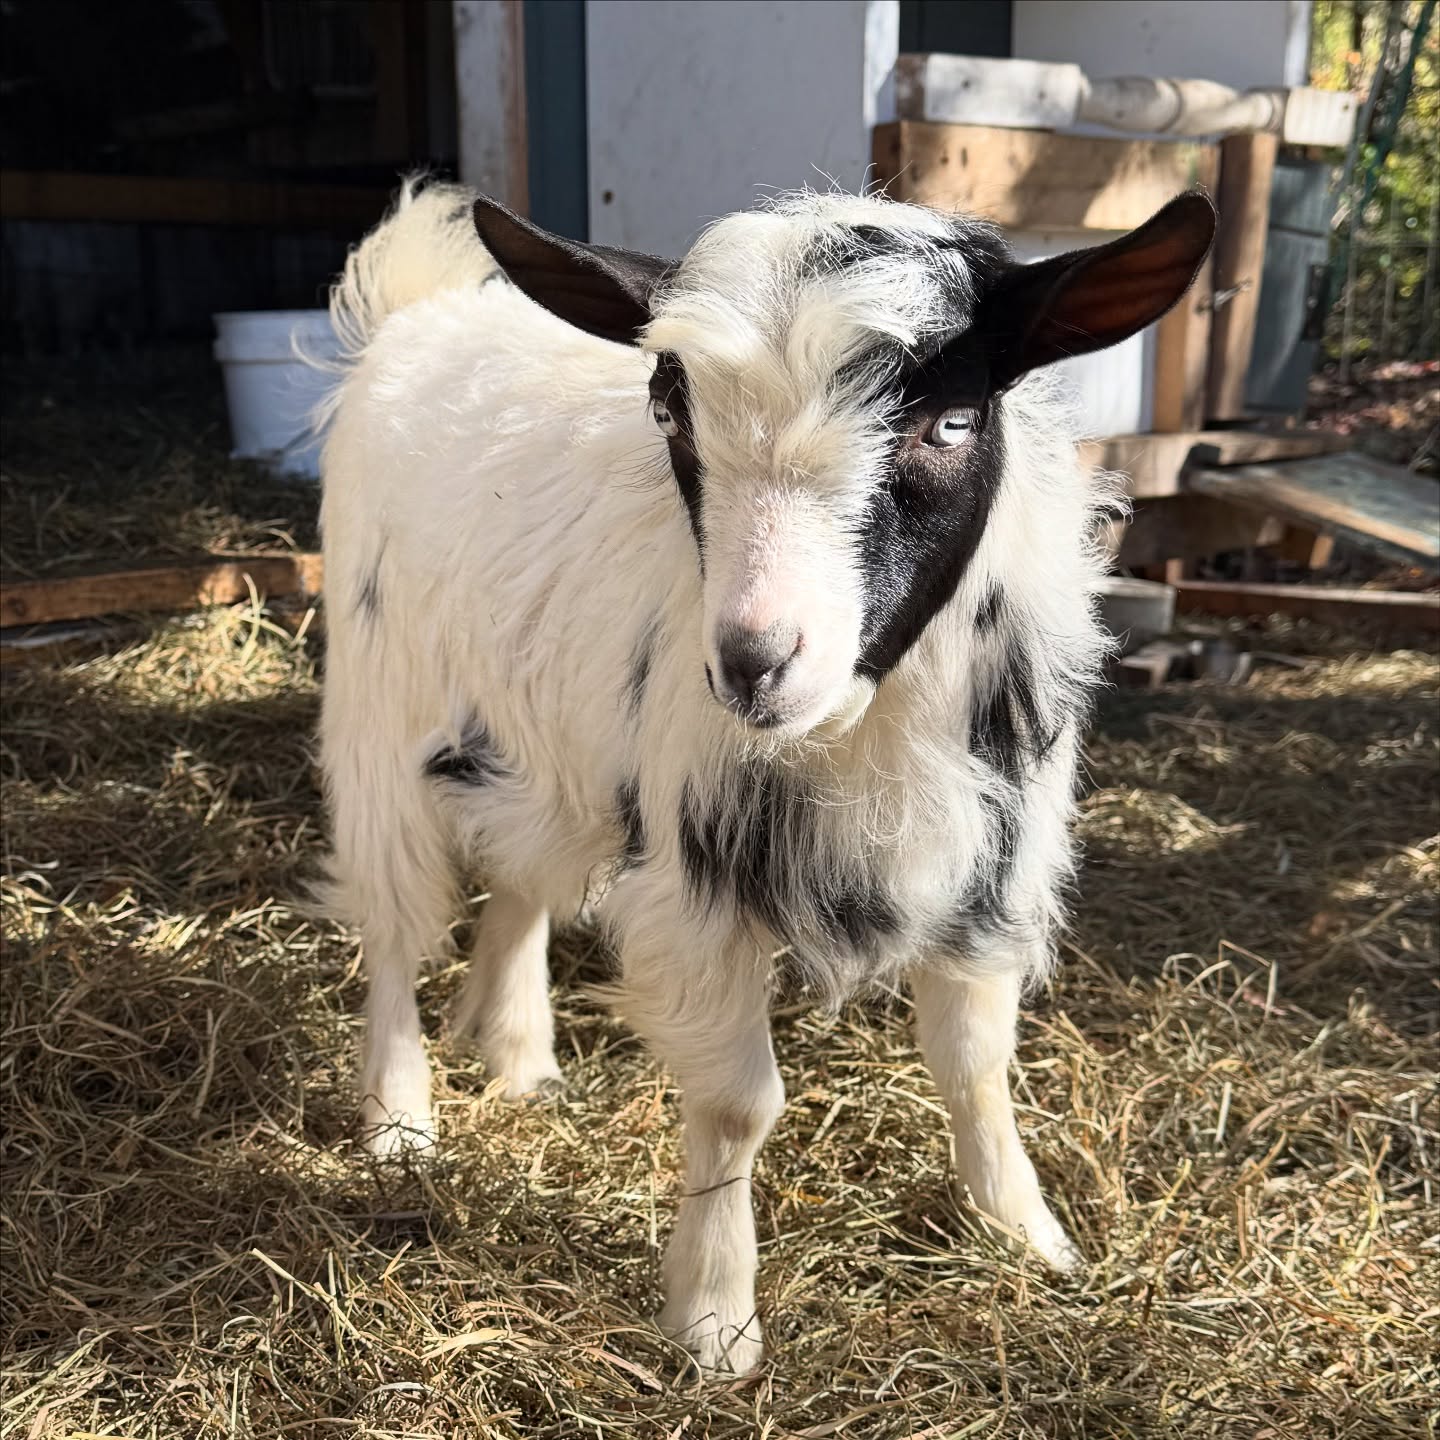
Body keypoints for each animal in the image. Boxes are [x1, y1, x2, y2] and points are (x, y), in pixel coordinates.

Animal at [318, 178, 1215, 1374]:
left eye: (951, 421)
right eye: (670, 413)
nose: (752, 663)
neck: (864, 722)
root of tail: (418, 311)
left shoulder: (994, 855)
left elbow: (976, 1062)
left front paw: (1028, 1236)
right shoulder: (699, 871)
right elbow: (740, 1104)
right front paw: (714, 1323)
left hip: (542, 737)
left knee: (520, 875)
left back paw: (517, 1058)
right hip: (379, 716)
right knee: (394, 921)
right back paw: (401, 1123)